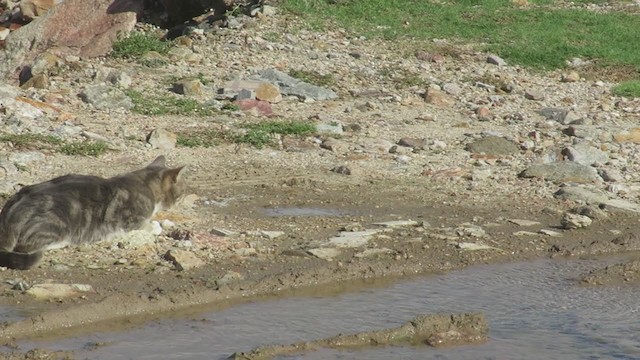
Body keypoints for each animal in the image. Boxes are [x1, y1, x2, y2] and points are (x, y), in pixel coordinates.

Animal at [0, 156, 184, 268]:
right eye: (180, 194)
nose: (178, 202)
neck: (143, 183)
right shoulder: (132, 222)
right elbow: (152, 225)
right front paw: (158, 225)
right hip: (58, 220)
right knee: (28, 245)